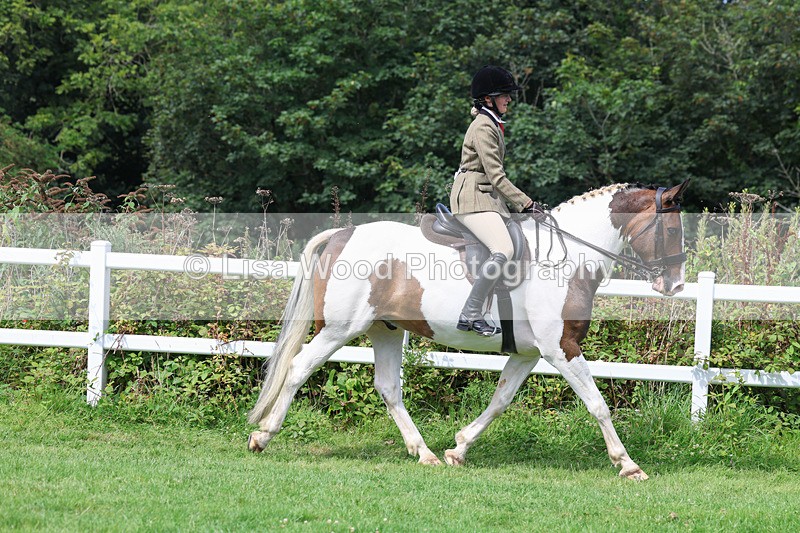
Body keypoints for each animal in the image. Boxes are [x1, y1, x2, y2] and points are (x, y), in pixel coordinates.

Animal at [247, 181, 690, 480]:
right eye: (671, 230)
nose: (676, 285)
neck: (568, 259)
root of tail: (343, 234)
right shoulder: (561, 347)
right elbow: (598, 404)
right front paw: (628, 464)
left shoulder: (528, 353)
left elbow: (500, 401)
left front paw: (458, 449)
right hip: (339, 329)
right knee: (299, 368)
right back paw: (263, 436)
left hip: (384, 330)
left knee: (388, 387)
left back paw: (424, 452)